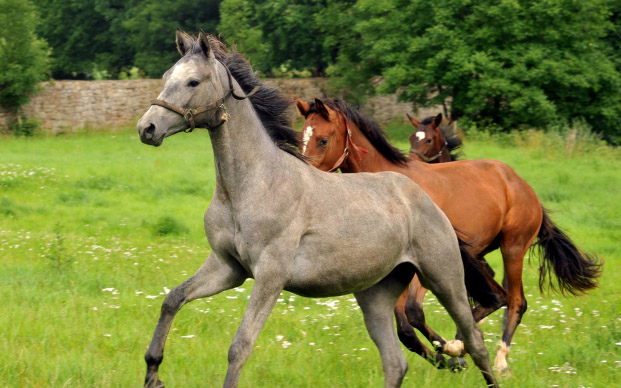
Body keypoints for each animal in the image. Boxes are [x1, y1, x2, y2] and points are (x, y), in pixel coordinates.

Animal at [137, 30, 498, 388]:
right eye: (167, 77)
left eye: (193, 82)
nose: (147, 128)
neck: (250, 186)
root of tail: (428, 202)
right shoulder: (228, 267)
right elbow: (172, 299)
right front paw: (153, 373)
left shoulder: (271, 274)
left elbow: (240, 345)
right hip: (376, 295)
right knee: (396, 362)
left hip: (444, 278)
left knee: (476, 342)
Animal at [296, 98, 600, 376]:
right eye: (302, 138)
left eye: (323, 139)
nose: (305, 176)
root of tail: (523, 186)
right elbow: (405, 328)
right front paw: (451, 358)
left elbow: (414, 313)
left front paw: (452, 351)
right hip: (478, 255)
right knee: (493, 297)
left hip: (512, 247)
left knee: (514, 301)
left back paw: (499, 359)